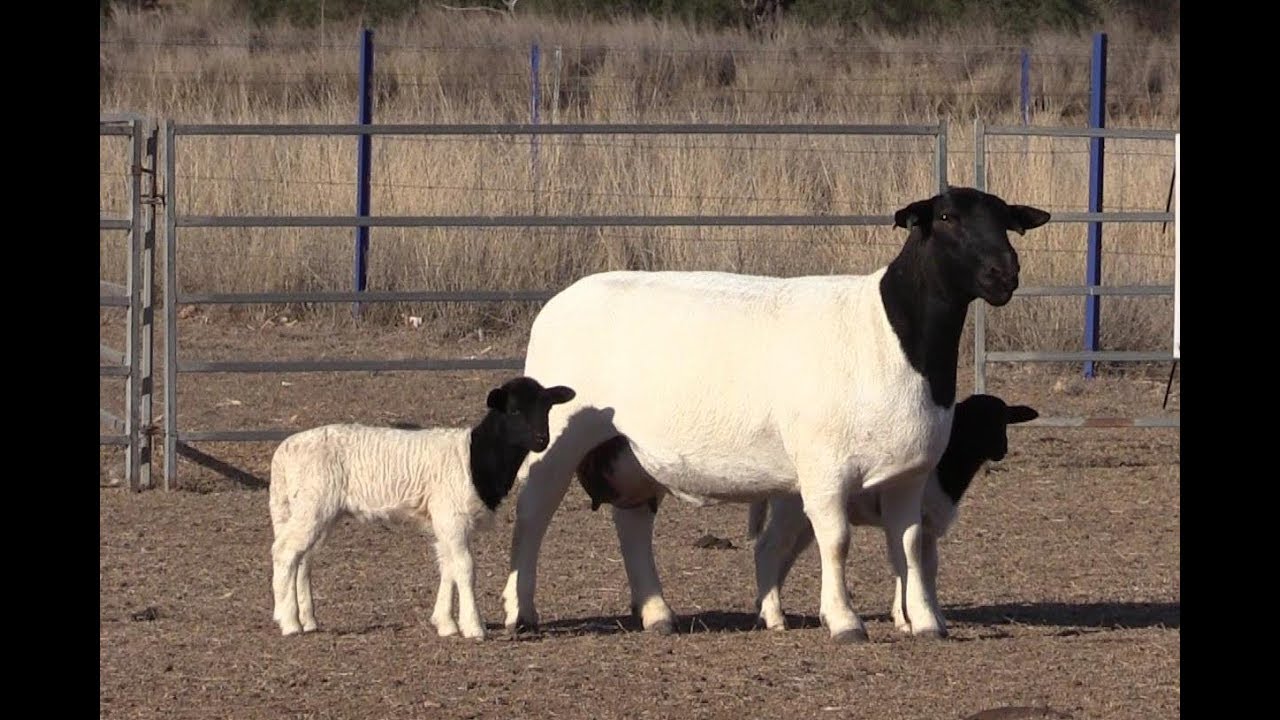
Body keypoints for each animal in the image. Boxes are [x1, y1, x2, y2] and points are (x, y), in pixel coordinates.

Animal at [267, 371, 573, 635]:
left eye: (547, 408)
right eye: (514, 411)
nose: (542, 440)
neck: (476, 456)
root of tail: (283, 453)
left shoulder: (444, 521)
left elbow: (447, 567)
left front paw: (446, 624)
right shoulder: (452, 517)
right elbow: (465, 568)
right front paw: (473, 627)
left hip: (313, 510)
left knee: (303, 558)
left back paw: (307, 620)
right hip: (313, 504)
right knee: (285, 552)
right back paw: (289, 622)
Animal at [747, 389, 1039, 630]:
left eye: (1003, 419)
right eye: (976, 421)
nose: (1002, 449)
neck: (947, 466)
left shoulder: (928, 525)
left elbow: (922, 565)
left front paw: (929, 615)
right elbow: (909, 564)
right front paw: (905, 618)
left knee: (784, 554)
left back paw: (766, 607)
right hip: (792, 510)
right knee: (769, 548)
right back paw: (775, 617)